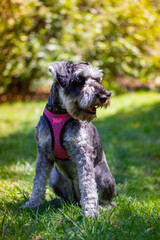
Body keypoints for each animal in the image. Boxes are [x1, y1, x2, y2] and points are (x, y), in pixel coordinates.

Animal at [22, 61, 116, 217]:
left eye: (97, 79)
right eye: (79, 80)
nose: (104, 95)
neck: (60, 112)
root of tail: (76, 200)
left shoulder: (82, 152)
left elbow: (88, 185)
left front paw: (90, 213)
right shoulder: (43, 152)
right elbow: (38, 181)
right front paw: (32, 204)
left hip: (103, 177)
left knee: (108, 200)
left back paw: (102, 207)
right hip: (55, 177)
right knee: (68, 199)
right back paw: (57, 201)